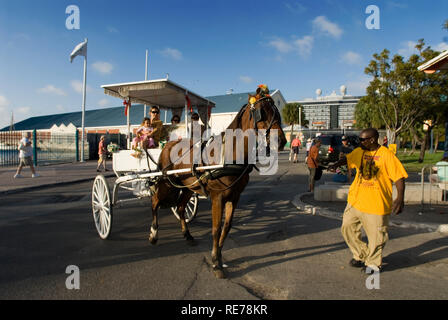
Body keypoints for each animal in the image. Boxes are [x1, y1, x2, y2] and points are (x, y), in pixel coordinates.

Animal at [149, 89, 286, 278]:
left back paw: (187, 235)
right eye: (261, 113)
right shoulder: (217, 197)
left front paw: (218, 258)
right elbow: (215, 229)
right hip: (166, 184)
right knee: (155, 201)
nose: (281, 141)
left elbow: (226, 228)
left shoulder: (234, 197)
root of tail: (168, 144)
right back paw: (153, 234)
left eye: (277, 112)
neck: (229, 153)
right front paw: (215, 262)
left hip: (188, 188)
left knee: (181, 208)